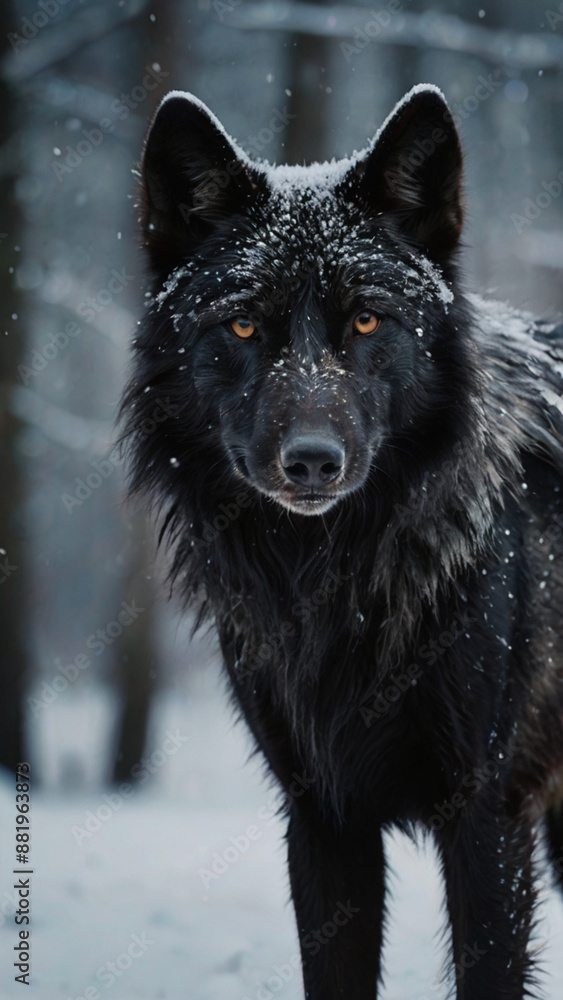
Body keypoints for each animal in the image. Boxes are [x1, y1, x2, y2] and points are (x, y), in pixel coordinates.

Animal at [121, 84, 563, 999]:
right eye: (243, 327)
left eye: (364, 320)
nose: (312, 461)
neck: (336, 579)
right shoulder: (321, 818)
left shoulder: (486, 817)